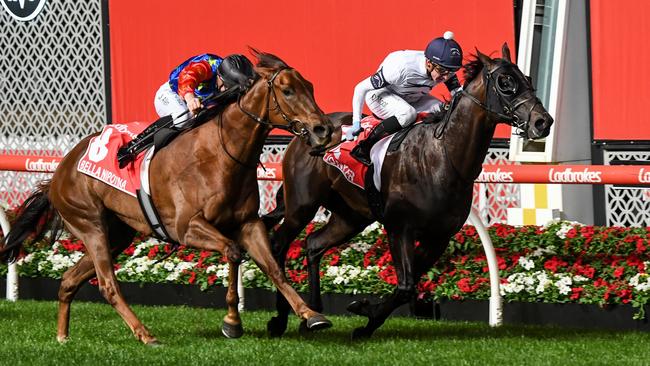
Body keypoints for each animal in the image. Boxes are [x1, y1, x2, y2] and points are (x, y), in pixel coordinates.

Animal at [1, 50, 334, 344]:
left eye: (311, 87)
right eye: (287, 91)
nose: (323, 129)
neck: (221, 153)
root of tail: (61, 169)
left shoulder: (248, 223)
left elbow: (273, 267)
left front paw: (310, 315)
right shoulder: (186, 227)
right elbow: (232, 252)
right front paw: (232, 322)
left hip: (117, 232)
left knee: (69, 280)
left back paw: (62, 336)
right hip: (90, 224)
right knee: (108, 284)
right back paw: (145, 334)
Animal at [264, 44, 552, 338]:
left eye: (528, 79)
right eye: (505, 83)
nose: (543, 122)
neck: (443, 157)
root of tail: (305, 132)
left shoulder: (438, 236)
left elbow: (407, 288)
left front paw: (366, 316)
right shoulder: (399, 227)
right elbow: (405, 286)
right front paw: (366, 316)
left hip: (351, 216)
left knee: (313, 245)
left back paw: (311, 314)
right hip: (302, 205)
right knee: (278, 244)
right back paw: (281, 318)